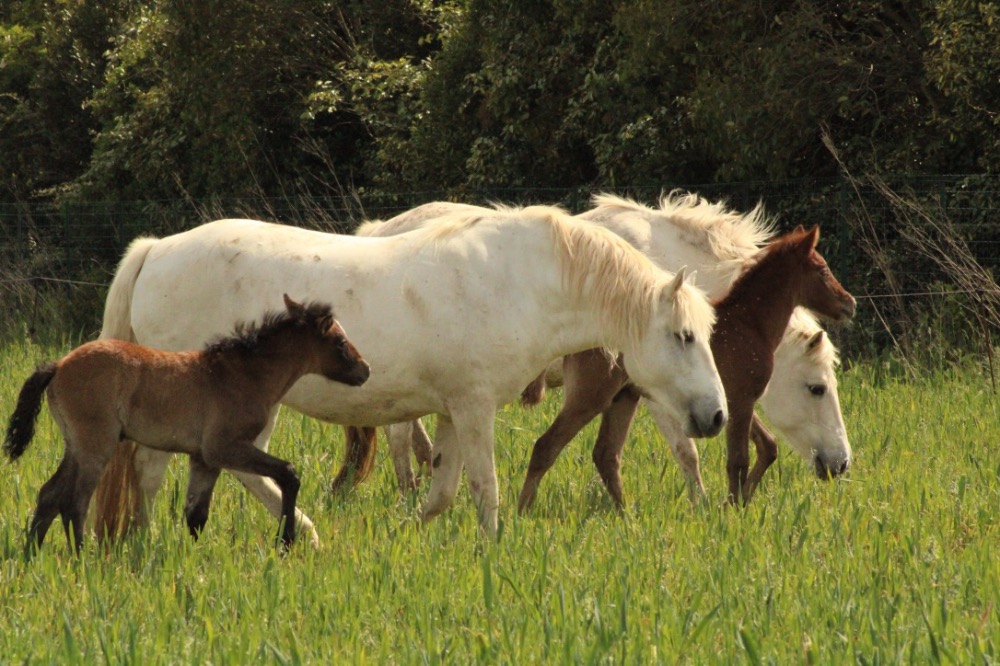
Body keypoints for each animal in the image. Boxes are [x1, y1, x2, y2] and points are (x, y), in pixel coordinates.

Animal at [1, 296, 370, 548]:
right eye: (340, 343)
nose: (365, 371)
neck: (243, 375)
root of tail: (58, 365)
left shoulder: (203, 458)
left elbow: (196, 515)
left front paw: (191, 564)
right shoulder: (225, 448)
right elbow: (289, 473)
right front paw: (286, 540)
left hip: (76, 445)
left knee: (49, 494)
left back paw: (31, 554)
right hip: (95, 445)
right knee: (74, 501)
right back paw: (82, 558)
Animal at [94, 205, 728, 544]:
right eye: (683, 336)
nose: (717, 415)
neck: (521, 280)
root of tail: (157, 249)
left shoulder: (450, 410)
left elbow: (443, 491)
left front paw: (411, 531)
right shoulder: (474, 407)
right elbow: (485, 488)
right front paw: (494, 547)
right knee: (165, 472)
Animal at [356, 192, 848, 492]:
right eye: (817, 388)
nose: (842, 463)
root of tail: (377, 230)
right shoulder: (655, 391)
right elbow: (687, 452)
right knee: (399, 435)